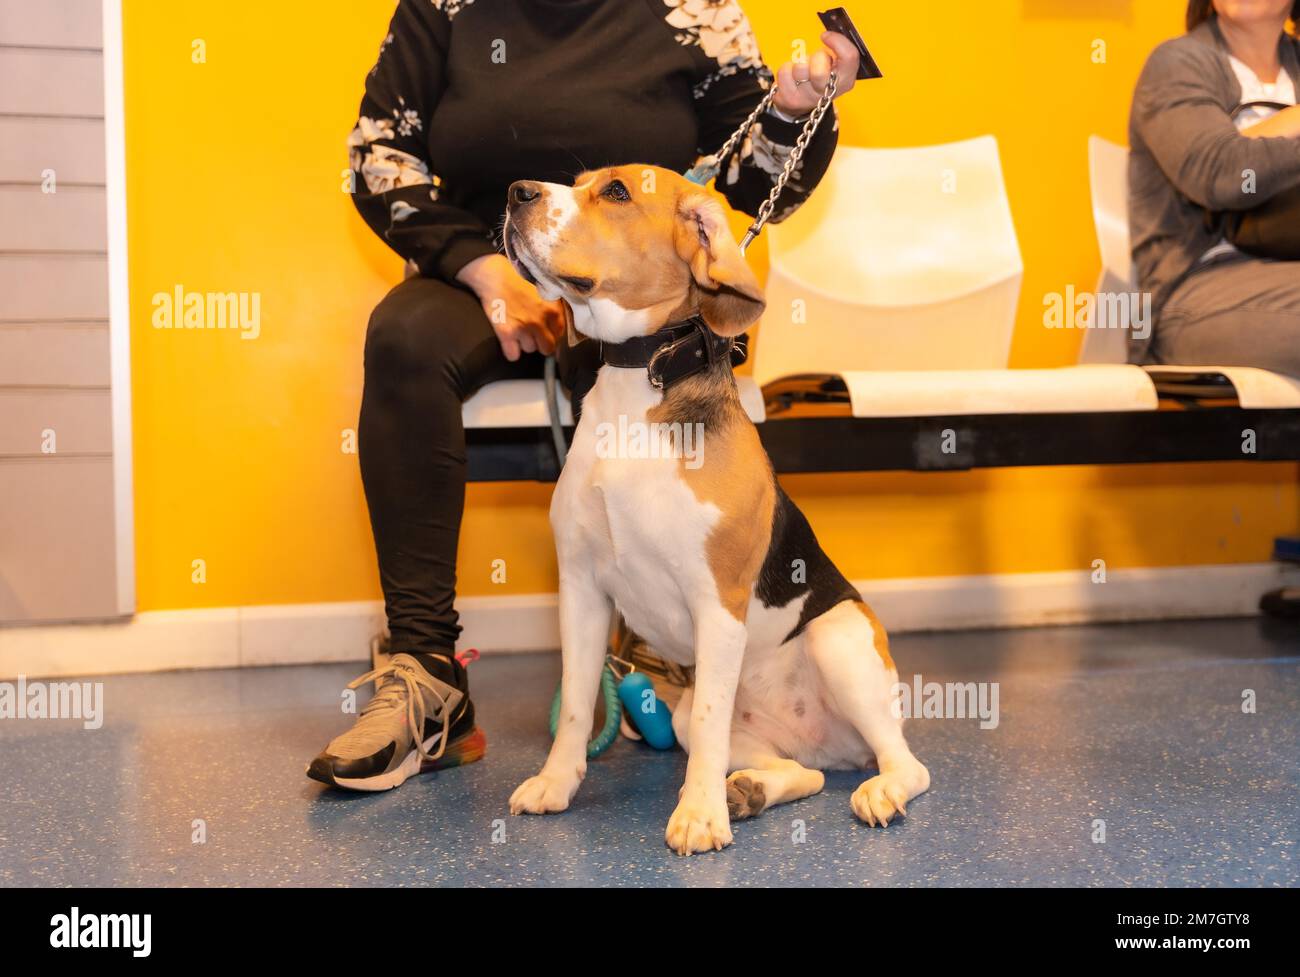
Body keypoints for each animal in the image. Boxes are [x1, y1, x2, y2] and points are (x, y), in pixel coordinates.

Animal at [501, 164, 930, 852]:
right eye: (578, 181)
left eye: (616, 192)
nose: (516, 192)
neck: (638, 382)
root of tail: (833, 747)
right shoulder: (582, 590)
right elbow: (575, 704)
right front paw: (556, 784)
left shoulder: (717, 602)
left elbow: (708, 723)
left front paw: (699, 815)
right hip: (704, 721)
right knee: (803, 774)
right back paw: (751, 791)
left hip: (839, 641)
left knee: (905, 764)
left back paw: (876, 790)